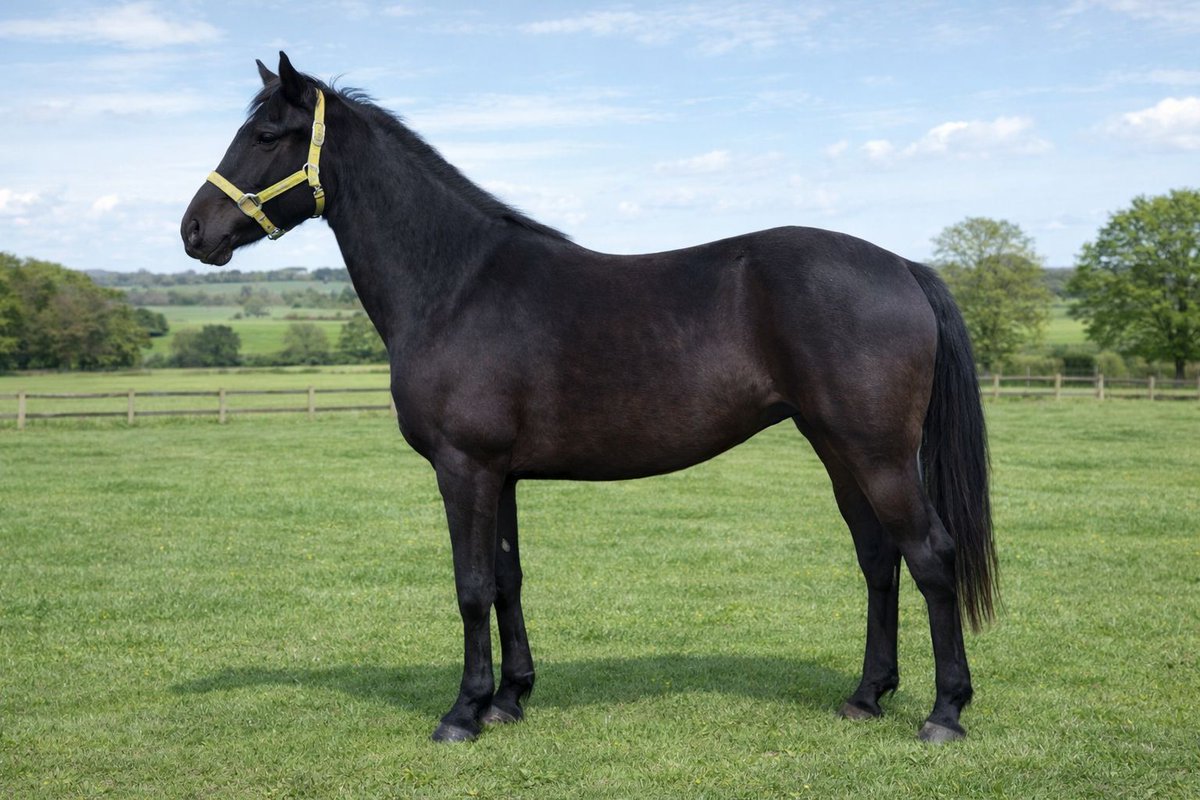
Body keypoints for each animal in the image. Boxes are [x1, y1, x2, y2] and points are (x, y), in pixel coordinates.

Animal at [182, 53, 997, 745]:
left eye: (265, 135)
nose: (193, 230)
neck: (457, 284)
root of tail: (902, 265)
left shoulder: (463, 468)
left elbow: (471, 586)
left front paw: (462, 713)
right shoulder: (501, 474)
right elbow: (507, 579)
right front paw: (509, 699)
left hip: (877, 453)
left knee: (930, 555)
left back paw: (944, 713)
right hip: (836, 447)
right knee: (879, 557)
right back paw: (866, 696)